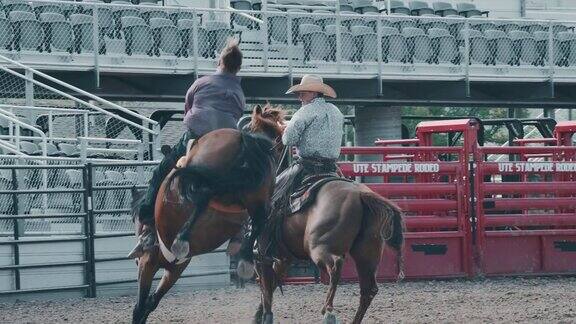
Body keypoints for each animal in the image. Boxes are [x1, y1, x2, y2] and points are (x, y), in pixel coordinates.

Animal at [130, 128, 276, 322]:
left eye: (134, 221)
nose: (141, 240)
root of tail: (243, 137)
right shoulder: (174, 270)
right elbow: (150, 302)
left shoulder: (149, 262)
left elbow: (140, 306)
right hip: (256, 197)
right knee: (260, 219)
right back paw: (245, 259)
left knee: (203, 195)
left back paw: (181, 240)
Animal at [249, 105, 404, 324]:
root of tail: (360, 194)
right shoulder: (284, 258)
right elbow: (270, 285)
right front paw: (258, 314)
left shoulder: (262, 255)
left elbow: (266, 288)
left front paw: (265, 316)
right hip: (367, 253)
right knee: (368, 289)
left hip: (319, 246)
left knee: (336, 266)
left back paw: (329, 311)